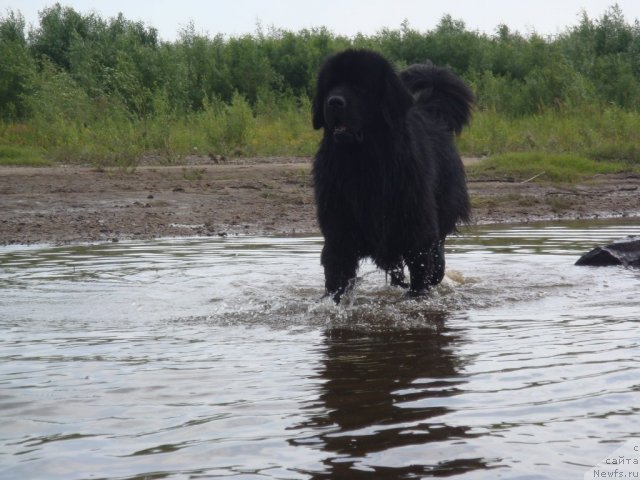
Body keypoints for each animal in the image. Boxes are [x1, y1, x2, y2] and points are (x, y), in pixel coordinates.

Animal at [312, 49, 472, 304]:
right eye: (330, 86)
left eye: (359, 87)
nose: (334, 102)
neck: (362, 164)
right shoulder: (339, 230)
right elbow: (337, 275)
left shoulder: (416, 229)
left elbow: (421, 271)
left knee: (437, 259)